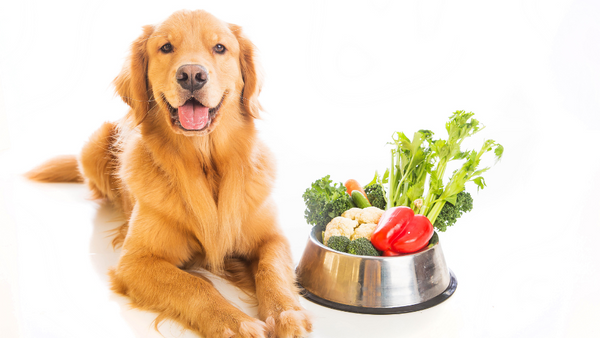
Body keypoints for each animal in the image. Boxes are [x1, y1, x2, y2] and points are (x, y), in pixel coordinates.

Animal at [25, 9, 312, 336]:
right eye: (166, 47)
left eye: (220, 47)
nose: (192, 75)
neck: (205, 163)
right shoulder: (136, 261)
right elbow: (194, 285)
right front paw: (234, 323)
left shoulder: (272, 238)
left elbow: (272, 271)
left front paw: (287, 314)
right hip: (94, 144)